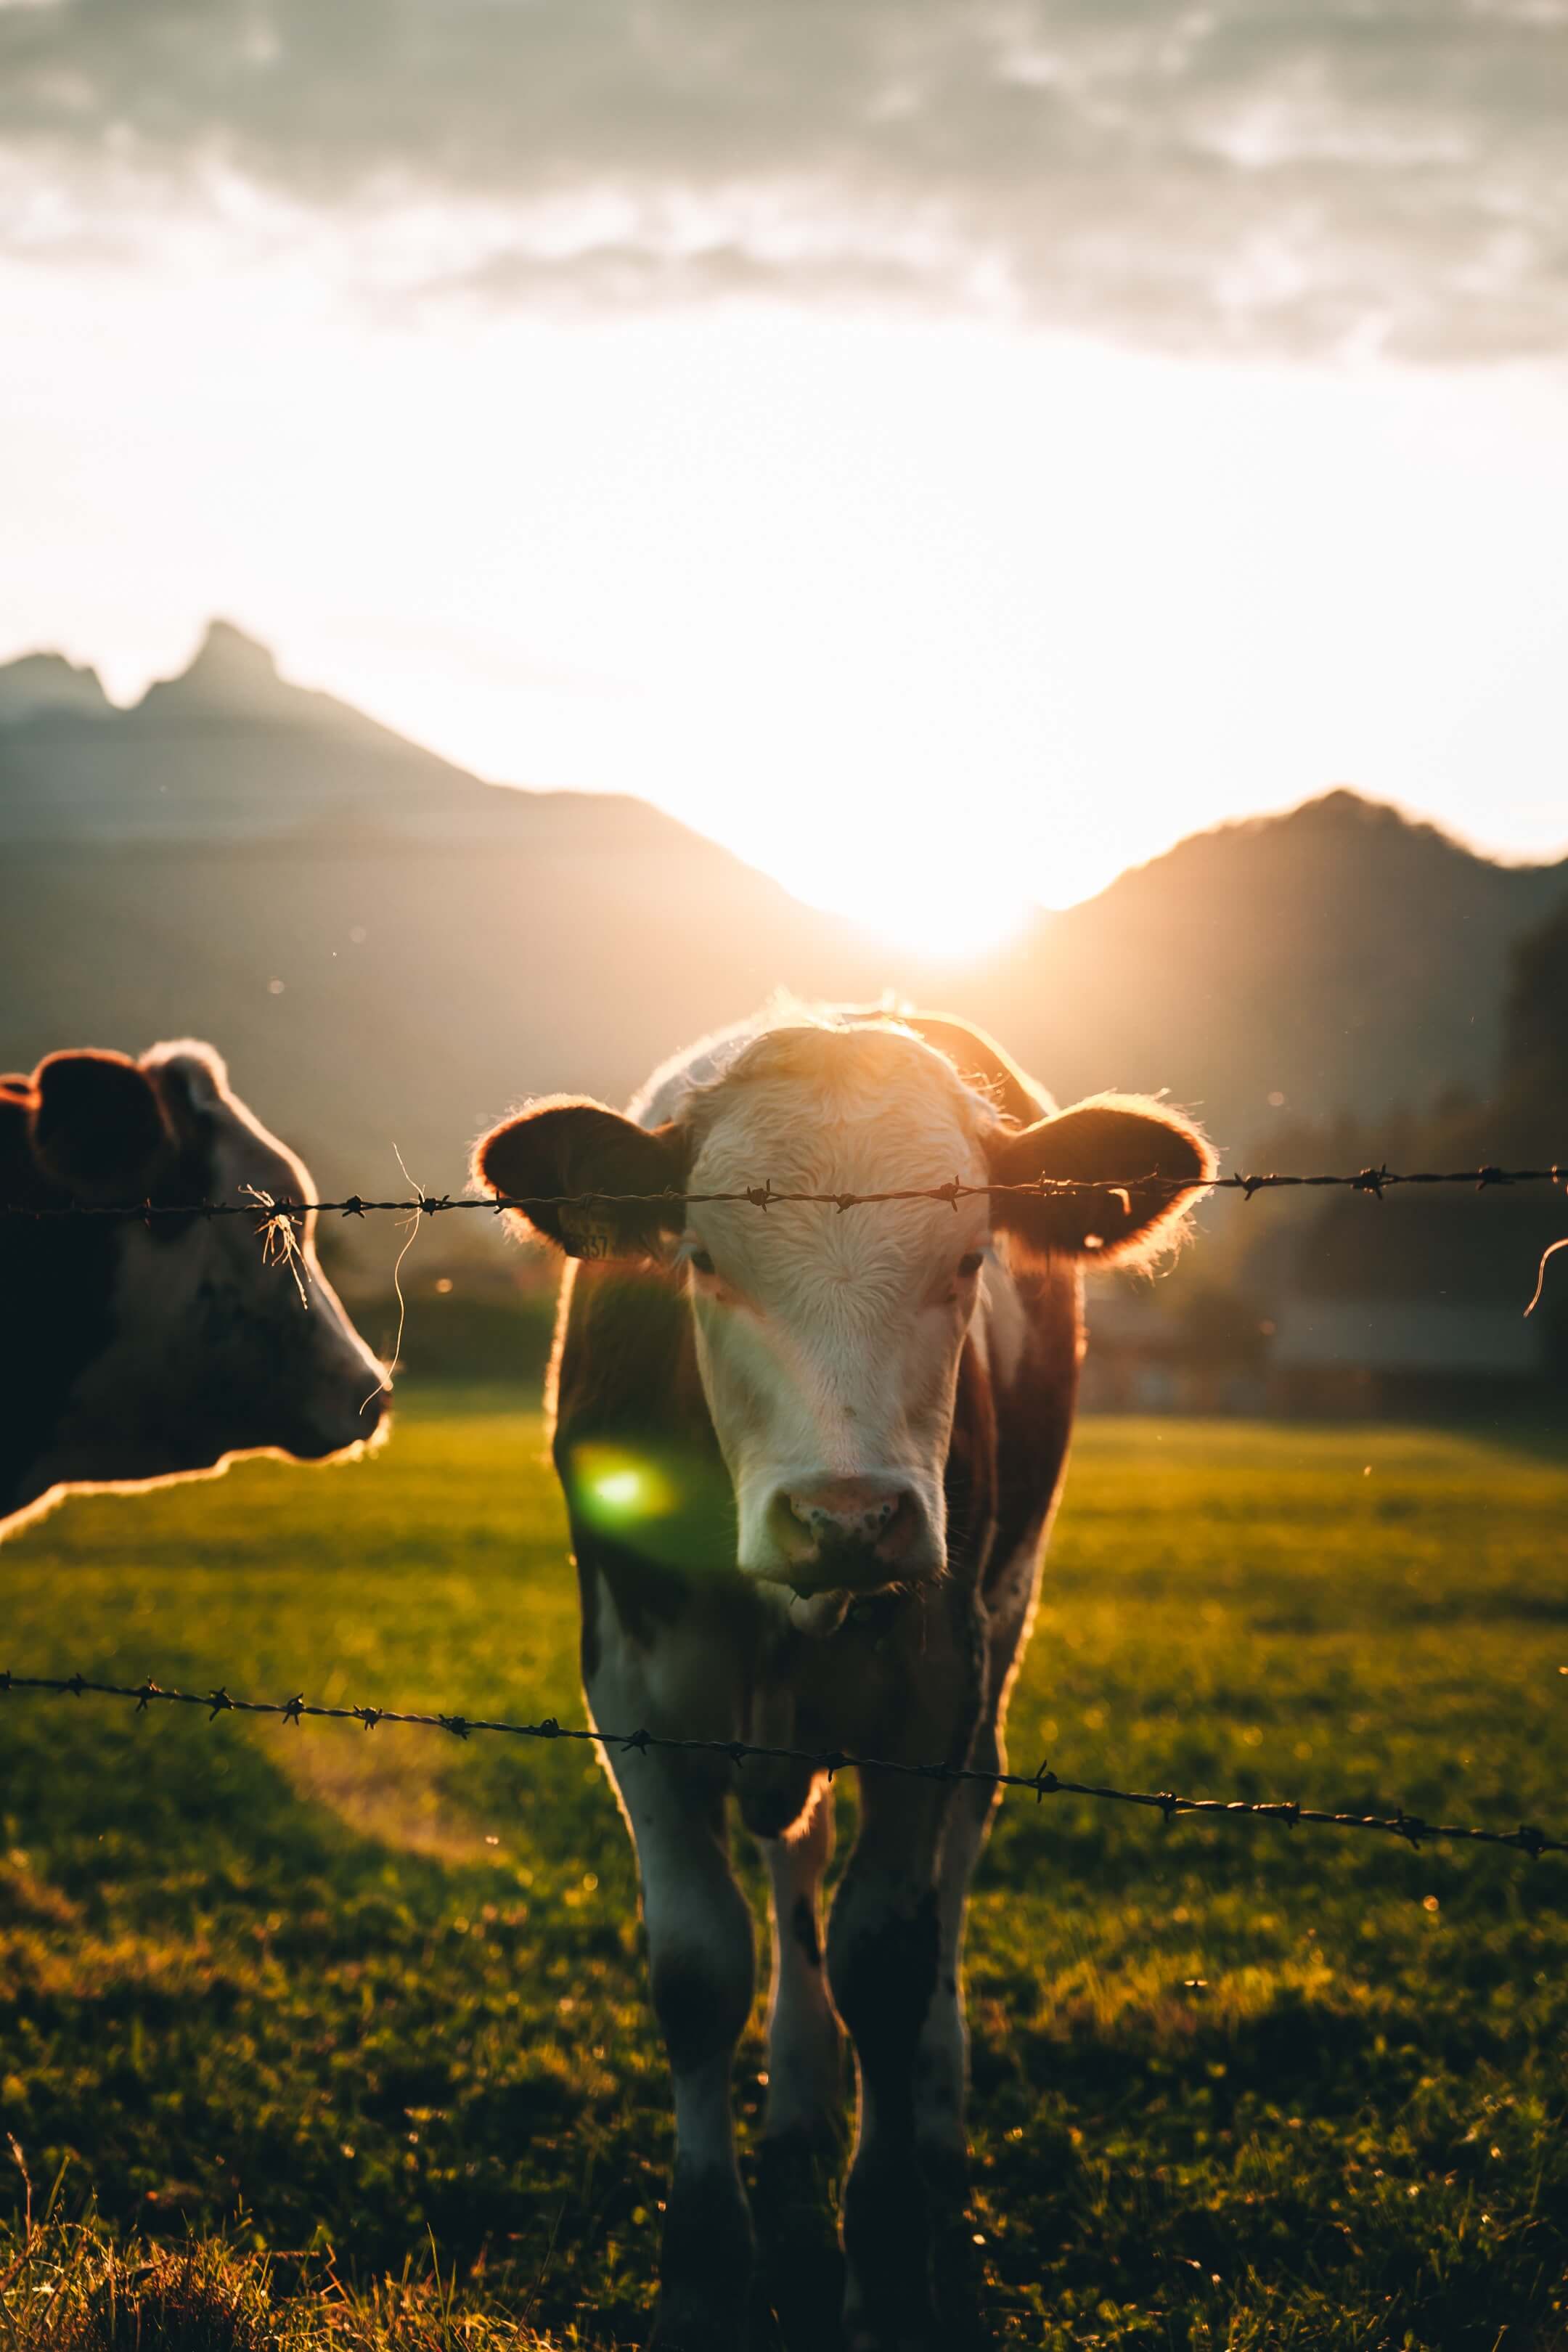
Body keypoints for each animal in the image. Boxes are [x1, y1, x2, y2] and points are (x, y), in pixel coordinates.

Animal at [479, 1006, 1213, 2352]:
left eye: (970, 1258)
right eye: (704, 1259)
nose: (849, 1518)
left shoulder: (930, 1696)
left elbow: (887, 1957)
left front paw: (886, 2259)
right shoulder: (637, 1701)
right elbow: (699, 1969)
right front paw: (704, 2268)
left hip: (1000, 1633)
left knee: (957, 1859)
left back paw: (932, 2107)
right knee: (796, 1861)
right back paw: (801, 2095)